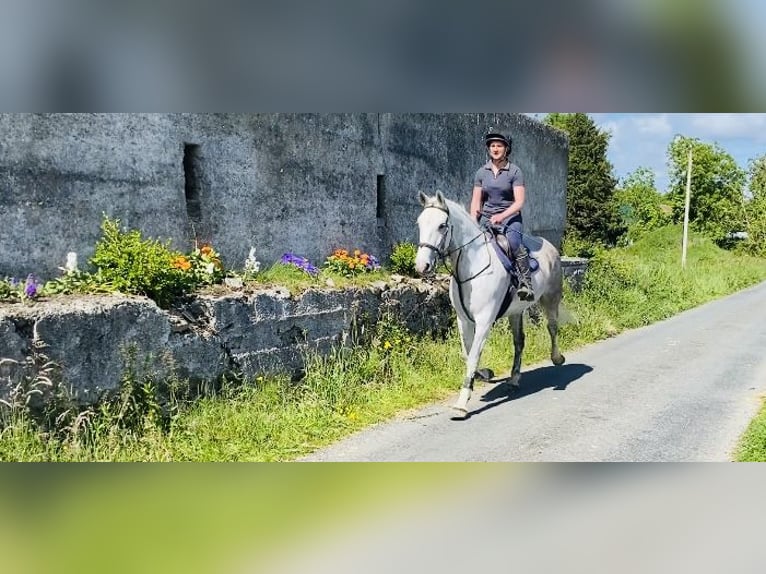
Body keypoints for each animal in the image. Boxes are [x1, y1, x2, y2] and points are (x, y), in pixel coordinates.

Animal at [416, 192, 568, 418]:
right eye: (419, 223)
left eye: (442, 225)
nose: (421, 266)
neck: (472, 269)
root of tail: (551, 247)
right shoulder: (463, 321)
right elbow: (467, 353)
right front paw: (483, 374)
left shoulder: (484, 321)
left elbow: (473, 356)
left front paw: (462, 403)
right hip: (516, 311)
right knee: (519, 341)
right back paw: (514, 379)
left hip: (550, 298)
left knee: (552, 327)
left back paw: (557, 358)